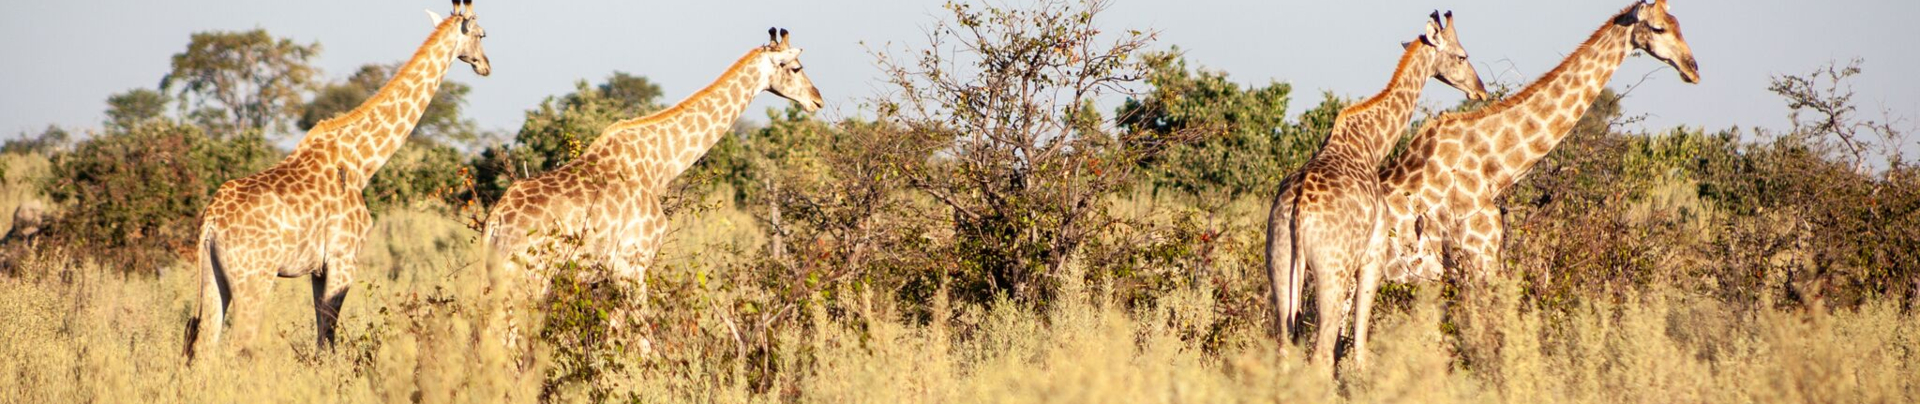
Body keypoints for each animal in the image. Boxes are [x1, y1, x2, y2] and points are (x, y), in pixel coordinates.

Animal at [185, 0, 491, 361]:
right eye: (483, 34)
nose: (486, 66)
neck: (362, 161)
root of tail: (211, 220)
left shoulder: (318, 269)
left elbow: (322, 337)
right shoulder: (344, 258)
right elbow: (329, 337)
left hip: (212, 275)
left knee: (204, 343)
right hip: (254, 277)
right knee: (239, 343)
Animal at [482, 28, 823, 296]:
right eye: (796, 68)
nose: (817, 100)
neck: (659, 166)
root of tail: (494, 222)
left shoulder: (611, 274)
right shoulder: (632, 264)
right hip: (531, 275)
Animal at [1263, 11, 1487, 373]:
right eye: (1461, 56)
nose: (1480, 90)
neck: (1370, 144)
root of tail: (1298, 209)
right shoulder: (1373, 256)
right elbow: (1359, 346)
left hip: (1280, 262)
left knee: (1285, 349)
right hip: (1332, 270)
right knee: (1320, 354)